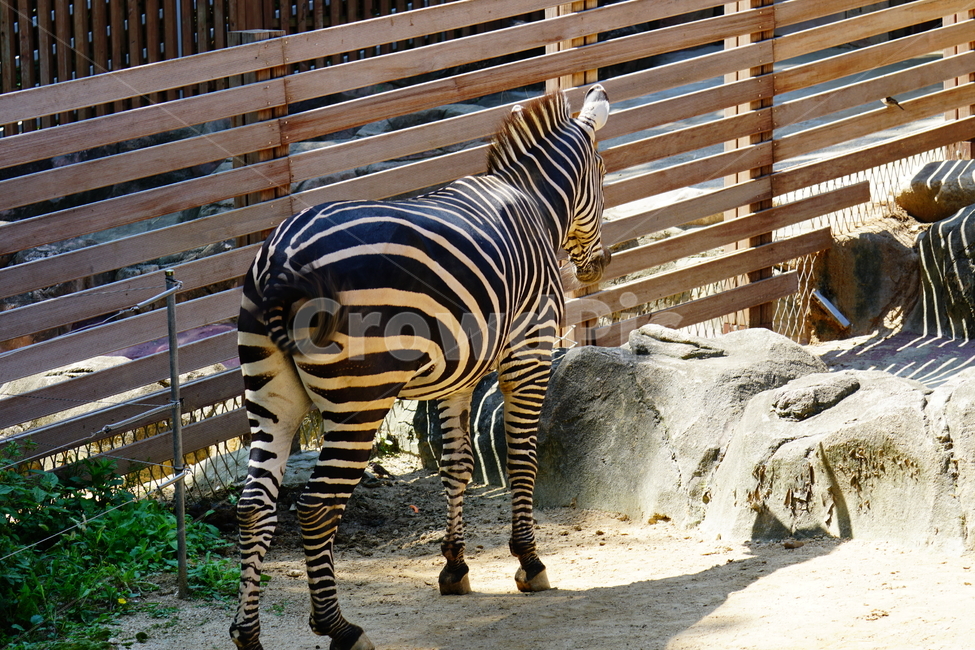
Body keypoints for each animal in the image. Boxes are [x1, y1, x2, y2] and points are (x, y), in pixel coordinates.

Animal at [230, 84, 611, 650]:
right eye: (603, 174)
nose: (599, 267)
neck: (533, 202)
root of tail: (281, 260)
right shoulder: (530, 350)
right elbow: (522, 457)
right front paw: (529, 561)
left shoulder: (459, 374)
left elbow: (456, 465)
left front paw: (454, 568)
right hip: (359, 398)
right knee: (317, 506)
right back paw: (339, 627)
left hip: (270, 393)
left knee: (255, 504)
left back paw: (248, 635)